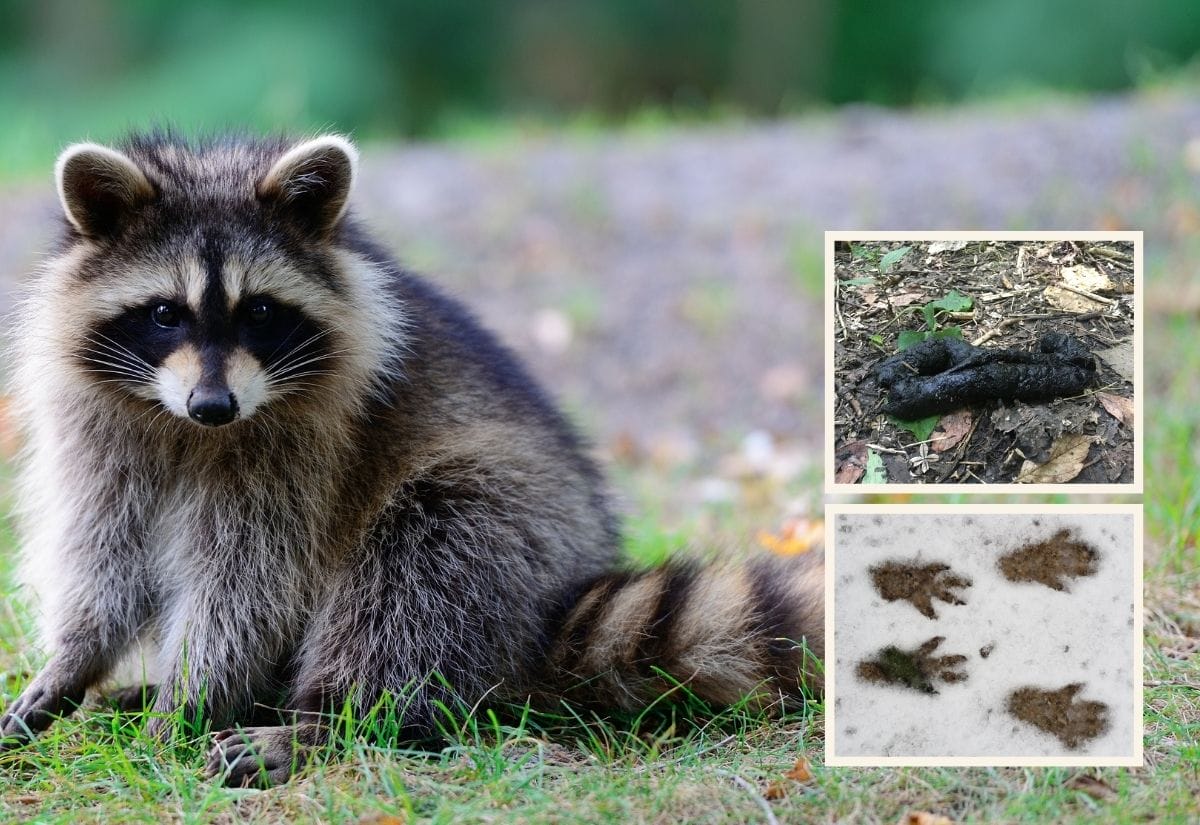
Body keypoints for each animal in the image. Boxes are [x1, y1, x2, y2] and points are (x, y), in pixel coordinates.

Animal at [0, 133, 825, 786]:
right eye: (165, 313)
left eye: (258, 311)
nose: (214, 405)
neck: (185, 427)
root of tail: (557, 600)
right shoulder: (99, 428)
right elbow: (104, 553)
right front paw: (76, 660)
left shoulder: (305, 447)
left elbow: (247, 580)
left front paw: (193, 697)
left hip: (505, 520)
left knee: (415, 572)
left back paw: (327, 722)